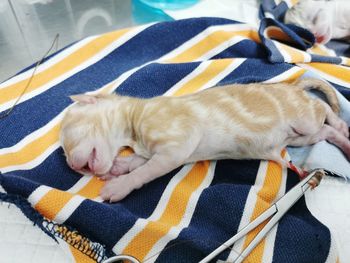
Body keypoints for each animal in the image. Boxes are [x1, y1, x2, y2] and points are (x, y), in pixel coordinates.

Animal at [59, 78, 350, 202]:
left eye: (68, 134)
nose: (72, 166)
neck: (134, 118)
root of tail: (293, 87)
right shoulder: (158, 151)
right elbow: (139, 161)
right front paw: (120, 166)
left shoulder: (176, 146)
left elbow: (144, 170)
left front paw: (119, 185)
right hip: (301, 136)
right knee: (325, 132)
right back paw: (344, 141)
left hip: (304, 119)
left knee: (324, 109)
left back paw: (342, 128)